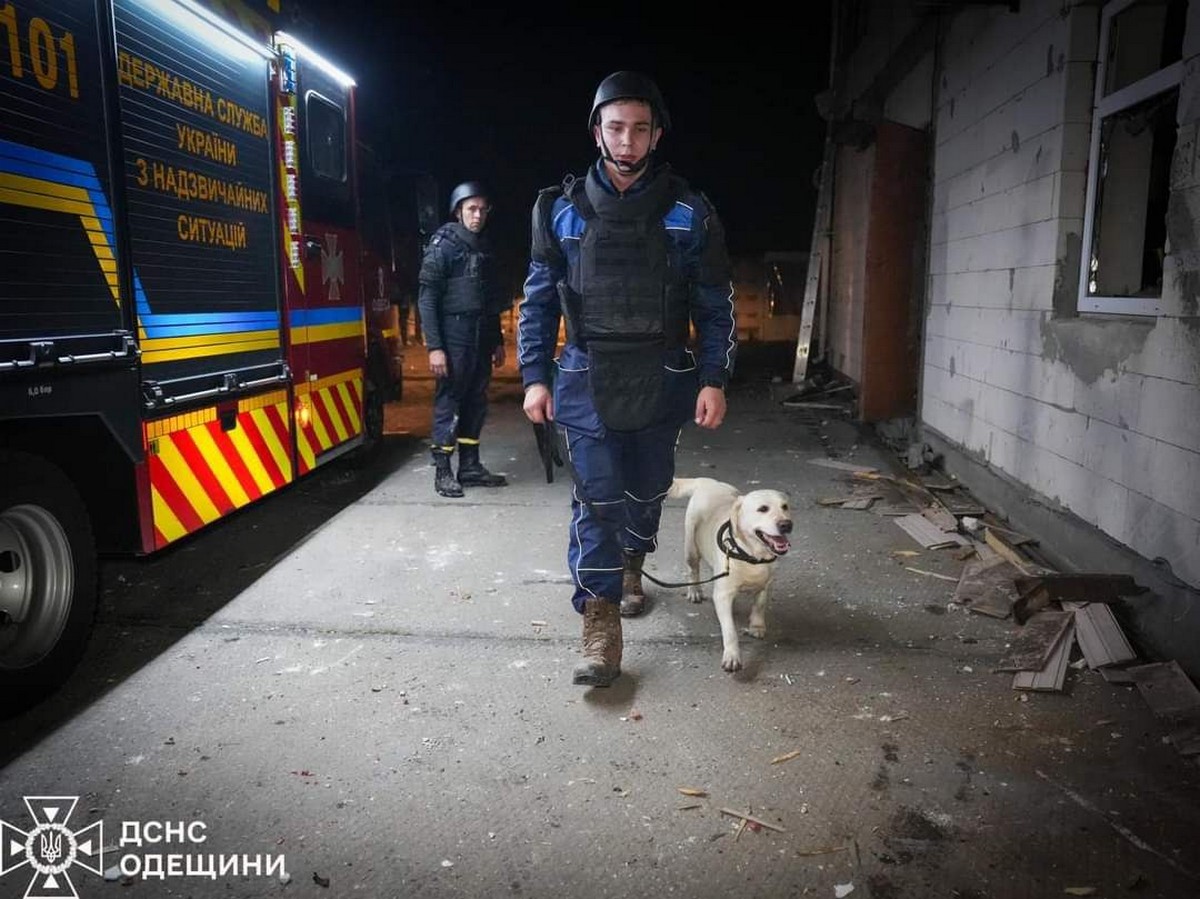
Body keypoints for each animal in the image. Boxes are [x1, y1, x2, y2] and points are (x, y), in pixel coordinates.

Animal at [672, 472, 792, 672]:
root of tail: (708, 481)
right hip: (691, 547)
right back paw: (694, 590)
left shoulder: (767, 584)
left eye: (785, 506)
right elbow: (729, 630)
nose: (786, 524)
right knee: (693, 569)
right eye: (763, 509)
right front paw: (732, 656)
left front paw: (757, 626)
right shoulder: (722, 595)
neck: (753, 556)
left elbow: (759, 605)